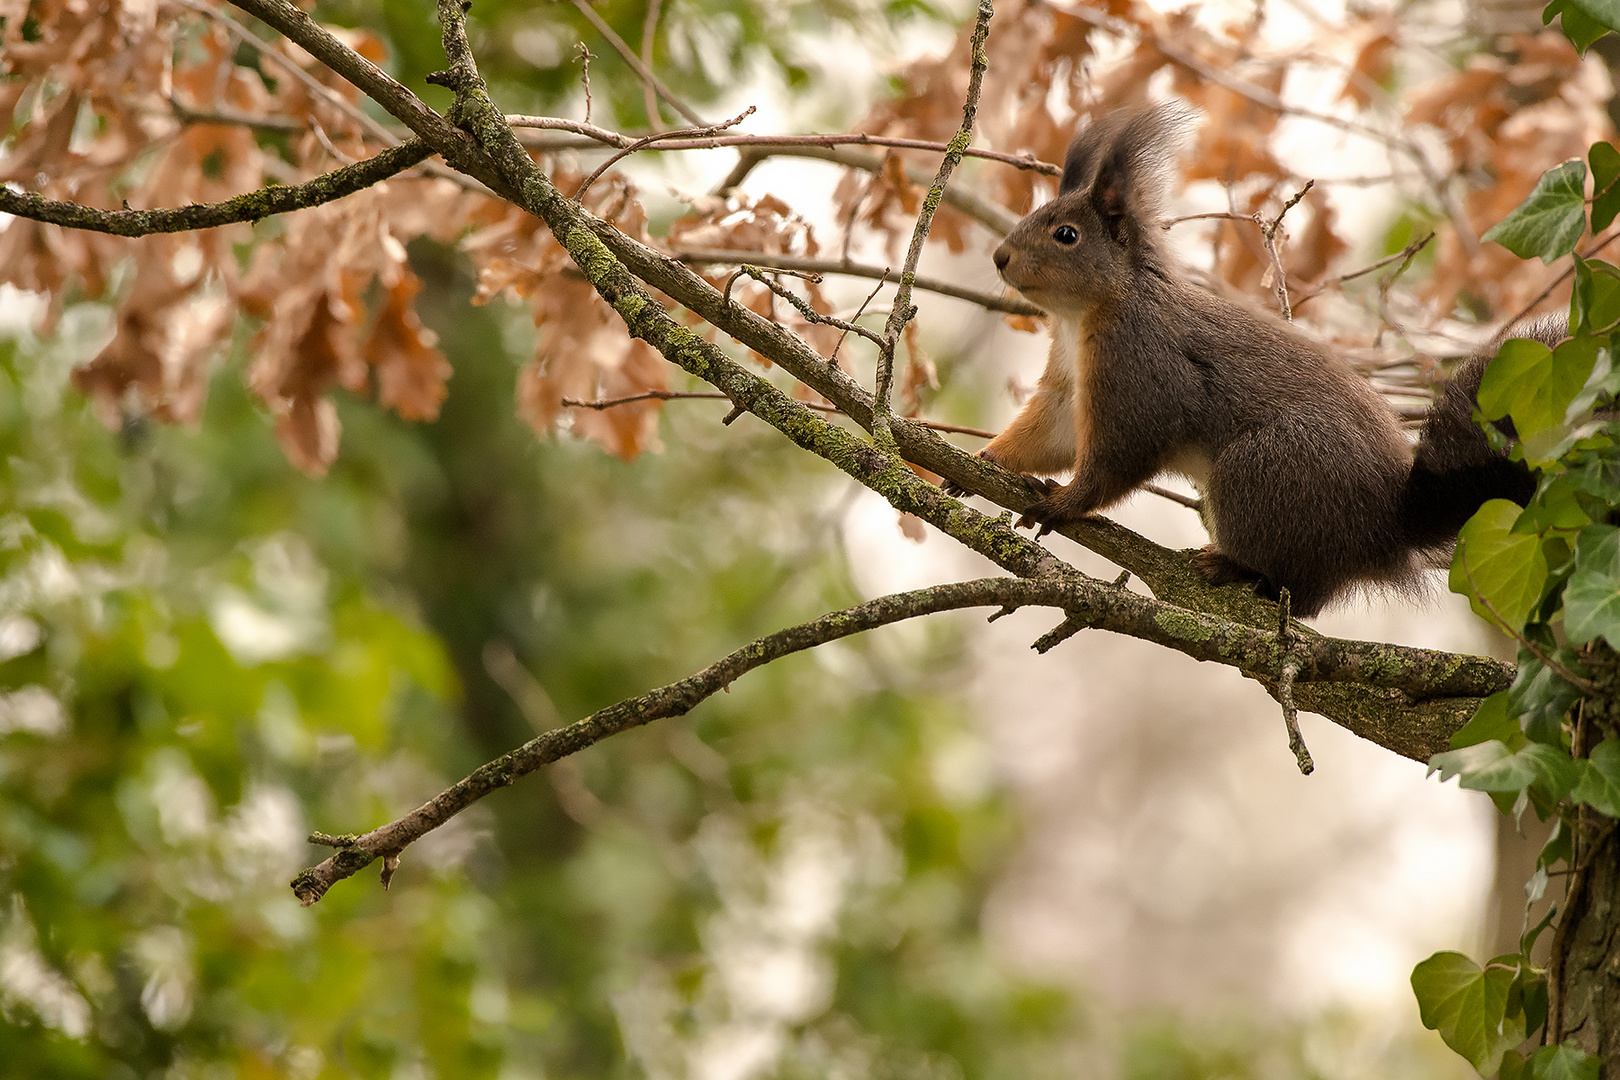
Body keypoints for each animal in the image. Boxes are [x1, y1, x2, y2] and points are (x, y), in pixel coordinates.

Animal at [965, 107, 1535, 615]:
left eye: (1066, 234)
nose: (999, 257)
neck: (1083, 313)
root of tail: (1390, 524)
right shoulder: (1068, 383)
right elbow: (1053, 432)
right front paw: (987, 459)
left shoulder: (1141, 364)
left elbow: (1121, 452)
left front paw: (1062, 504)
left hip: (1263, 471)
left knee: (1302, 594)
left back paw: (1234, 568)